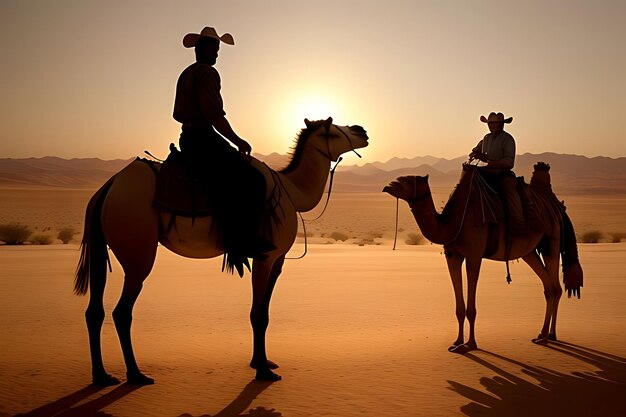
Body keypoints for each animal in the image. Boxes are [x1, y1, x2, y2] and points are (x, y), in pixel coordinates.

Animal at [73, 117, 368, 384]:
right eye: (332, 131)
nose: (362, 130)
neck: (293, 193)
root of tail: (108, 188)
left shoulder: (277, 260)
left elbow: (264, 311)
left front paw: (261, 362)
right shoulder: (265, 256)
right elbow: (258, 315)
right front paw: (263, 371)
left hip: (103, 247)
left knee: (94, 311)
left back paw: (102, 376)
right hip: (138, 252)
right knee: (122, 312)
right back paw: (136, 375)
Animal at [382, 162, 584, 352]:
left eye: (404, 181)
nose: (387, 186)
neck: (452, 221)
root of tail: (558, 208)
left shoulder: (474, 255)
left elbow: (471, 308)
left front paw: (470, 345)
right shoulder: (452, 256)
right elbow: (459, 307)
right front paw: (457, 342)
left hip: (552, 241)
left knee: (556, 287)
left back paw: (547, 336)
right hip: (530, 251)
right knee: (549, 287)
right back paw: (545, 334)